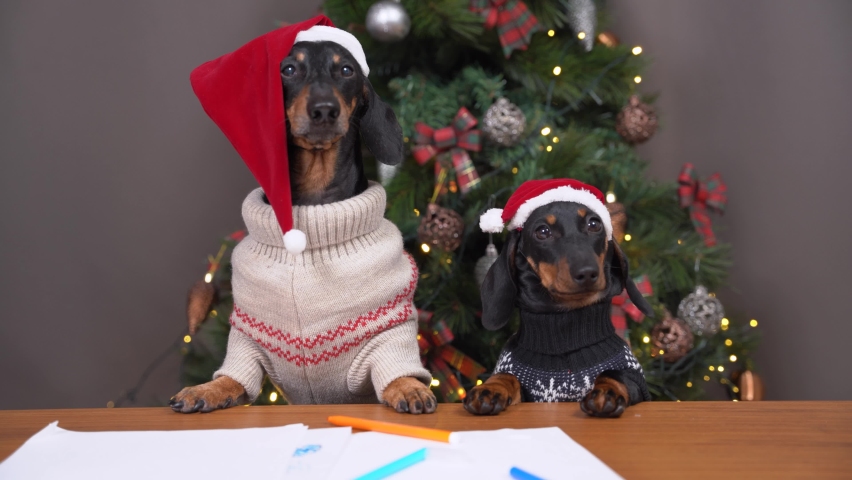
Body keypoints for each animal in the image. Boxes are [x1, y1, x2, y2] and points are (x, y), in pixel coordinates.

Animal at [466, 190, 652, 416]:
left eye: (594, 224)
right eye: (543, 231)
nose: (587, 273)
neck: (564, 335)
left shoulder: (637, 381)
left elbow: (615, 374)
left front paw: (607, 391)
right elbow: (507, 376)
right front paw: (491, 389)